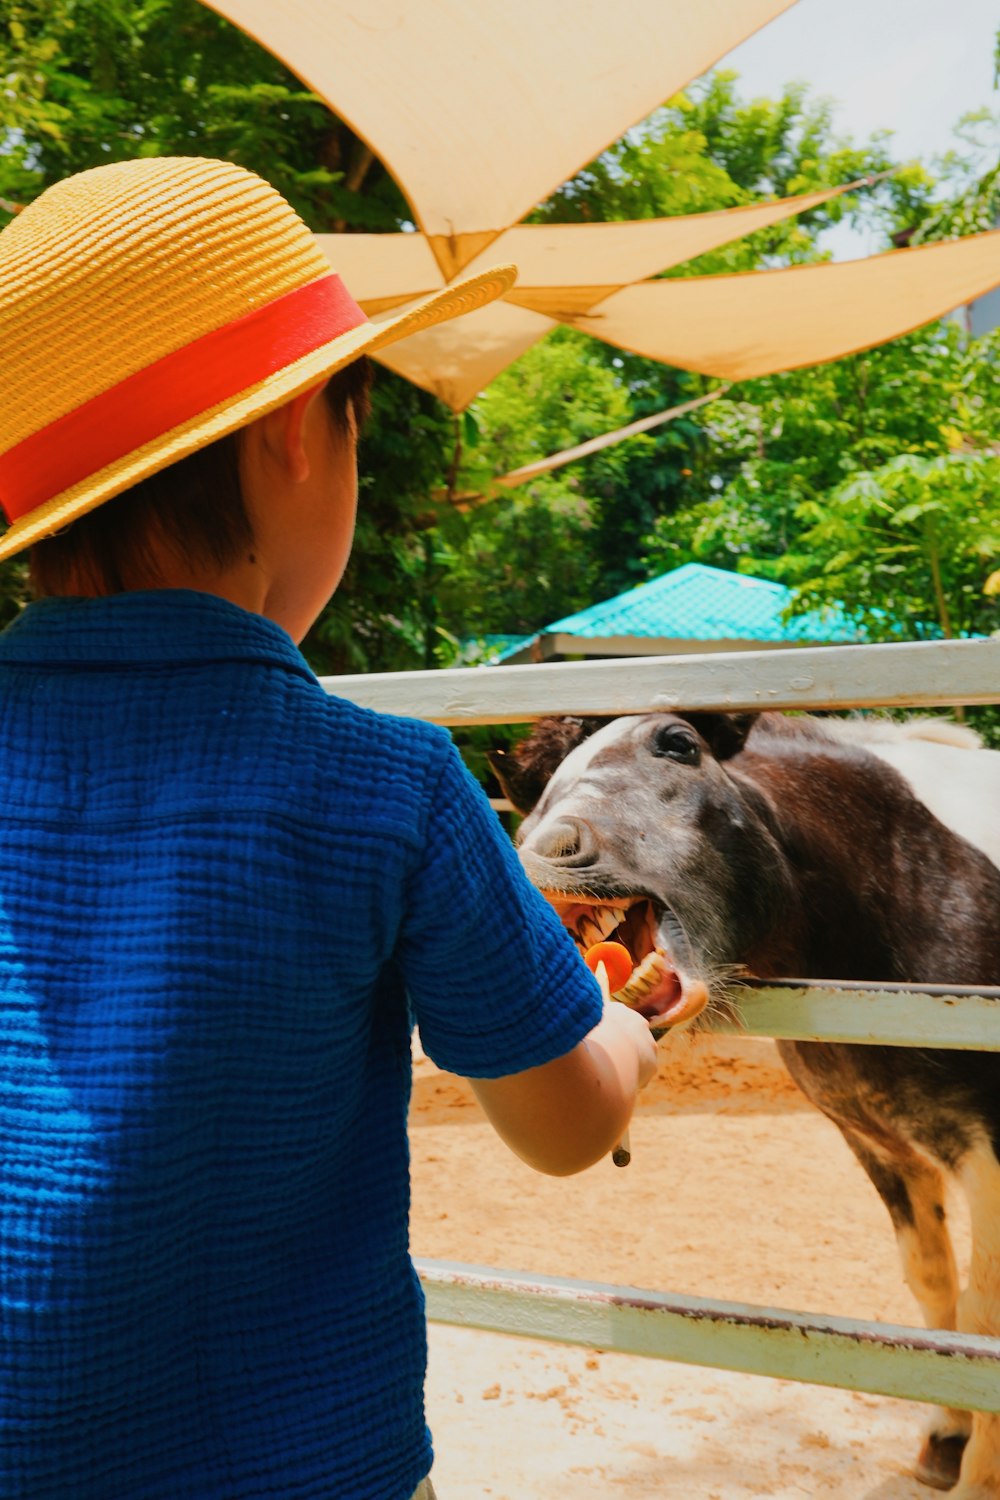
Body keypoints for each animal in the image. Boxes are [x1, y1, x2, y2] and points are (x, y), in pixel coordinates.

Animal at [491, 714, 1000, 1500]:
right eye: (534, 794)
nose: (541, 857)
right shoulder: (877, 1139)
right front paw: (947, 1436)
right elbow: (935, 1287)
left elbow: (984, 1317)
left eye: (677, 743)